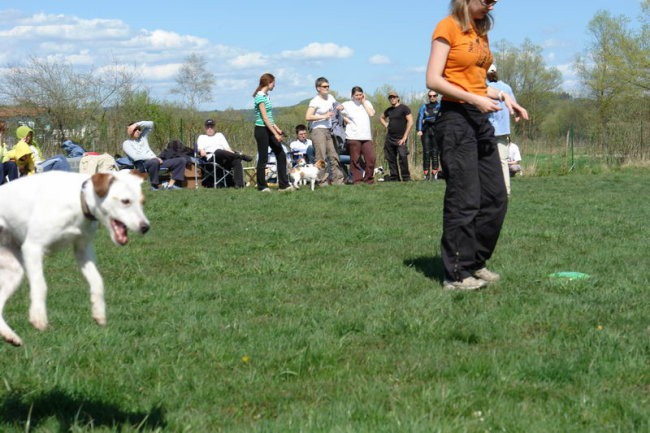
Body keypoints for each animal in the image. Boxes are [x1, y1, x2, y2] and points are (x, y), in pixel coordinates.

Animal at [0, 169, 148, 344]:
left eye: (143, 201)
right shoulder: (33, 248)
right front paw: (38, 317)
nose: (146, 227)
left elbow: (98, 281)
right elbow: (41, 286)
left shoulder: (83, 250)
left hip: (14, 271)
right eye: (125, 201)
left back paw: (9, 335)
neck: (78, 200)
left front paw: (98, 310)